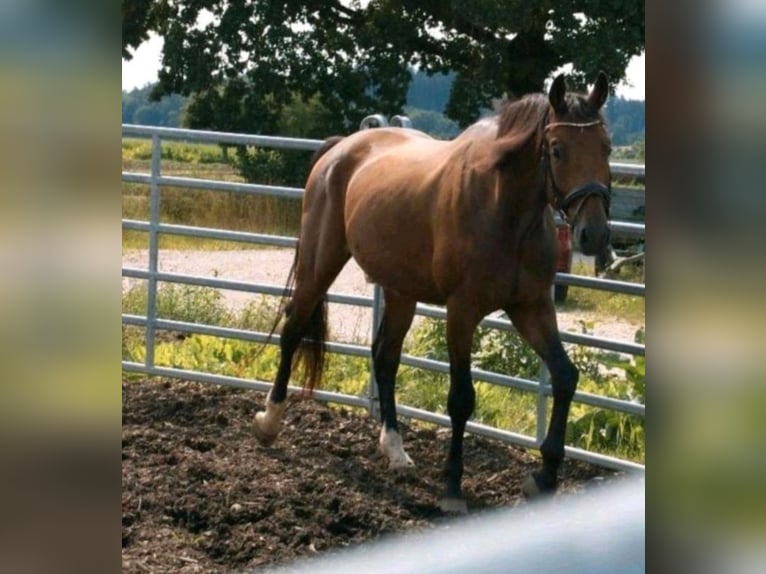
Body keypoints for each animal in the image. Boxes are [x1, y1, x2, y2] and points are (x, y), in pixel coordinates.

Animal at [254, 72, 613, 513]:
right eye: (558, 149)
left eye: (606, 147)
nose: (594, 234)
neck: (505, 209)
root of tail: (340, 150)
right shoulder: (462, 312)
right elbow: (461, 397)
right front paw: (453, 488)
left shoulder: (531, 307)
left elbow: (564, 376)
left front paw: (544, 477)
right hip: (320, 263)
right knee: (293, 329)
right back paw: (269, 422)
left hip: (400, 290)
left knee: (384, 357)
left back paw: (395, 449)